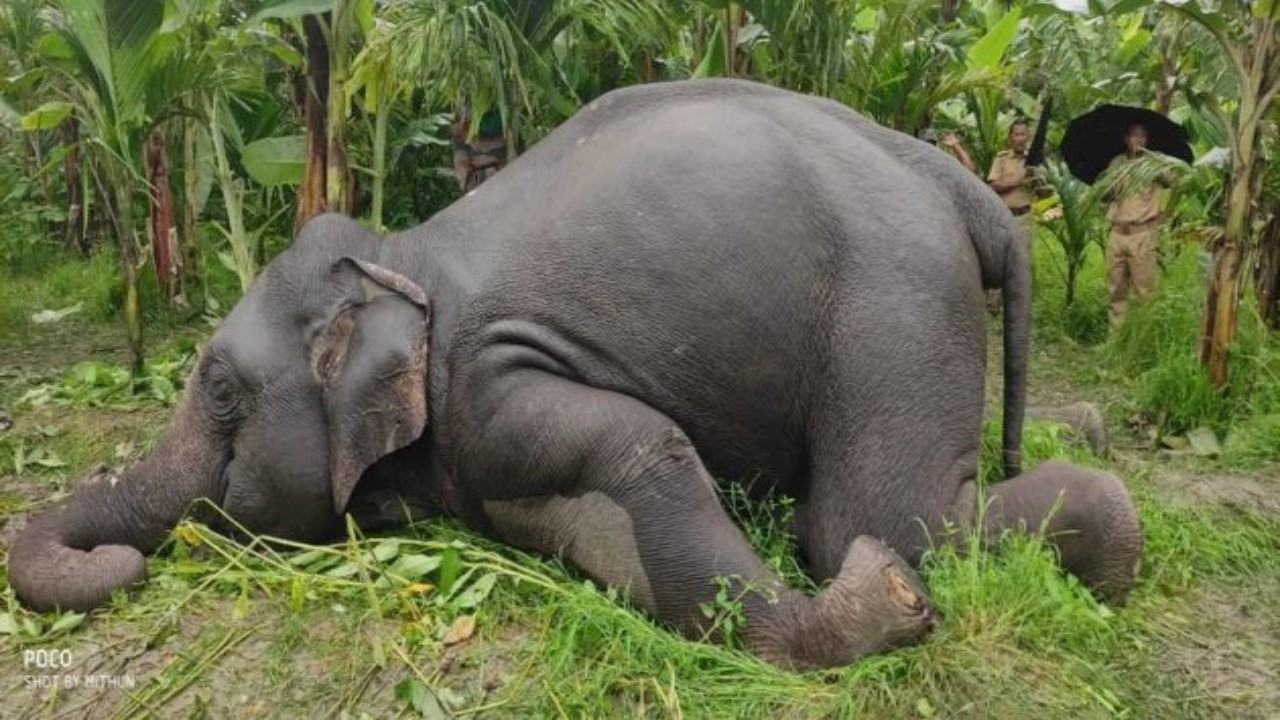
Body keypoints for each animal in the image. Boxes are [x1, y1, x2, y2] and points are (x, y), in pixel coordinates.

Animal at [8, 79, 1142, 671]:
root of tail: (961, 185)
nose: (129, 565)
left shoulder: (488, 379)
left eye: (218, 390)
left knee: (877, 515)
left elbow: (642, 445)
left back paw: (1099, 532)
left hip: (891, 300)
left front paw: (878, 604)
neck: (399, 257)